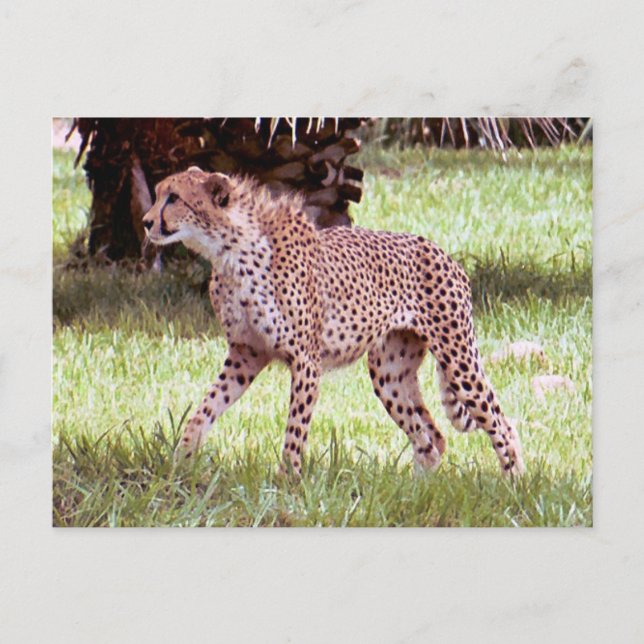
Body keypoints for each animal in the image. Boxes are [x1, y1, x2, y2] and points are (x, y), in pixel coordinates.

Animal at [142, 166, 525, 478]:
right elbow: (205, 408)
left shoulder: (305, 361)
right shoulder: (245, 355)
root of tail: (443, 252)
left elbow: (295, 429)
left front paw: (288, 481)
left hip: (458, 359)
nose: (145, 221)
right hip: (389, 373)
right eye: (158, 194)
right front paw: (180, 461)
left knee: (500, 424)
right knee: (431, 439)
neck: (229, 251)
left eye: (174, 198)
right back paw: (417, 489)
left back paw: (515, 482)